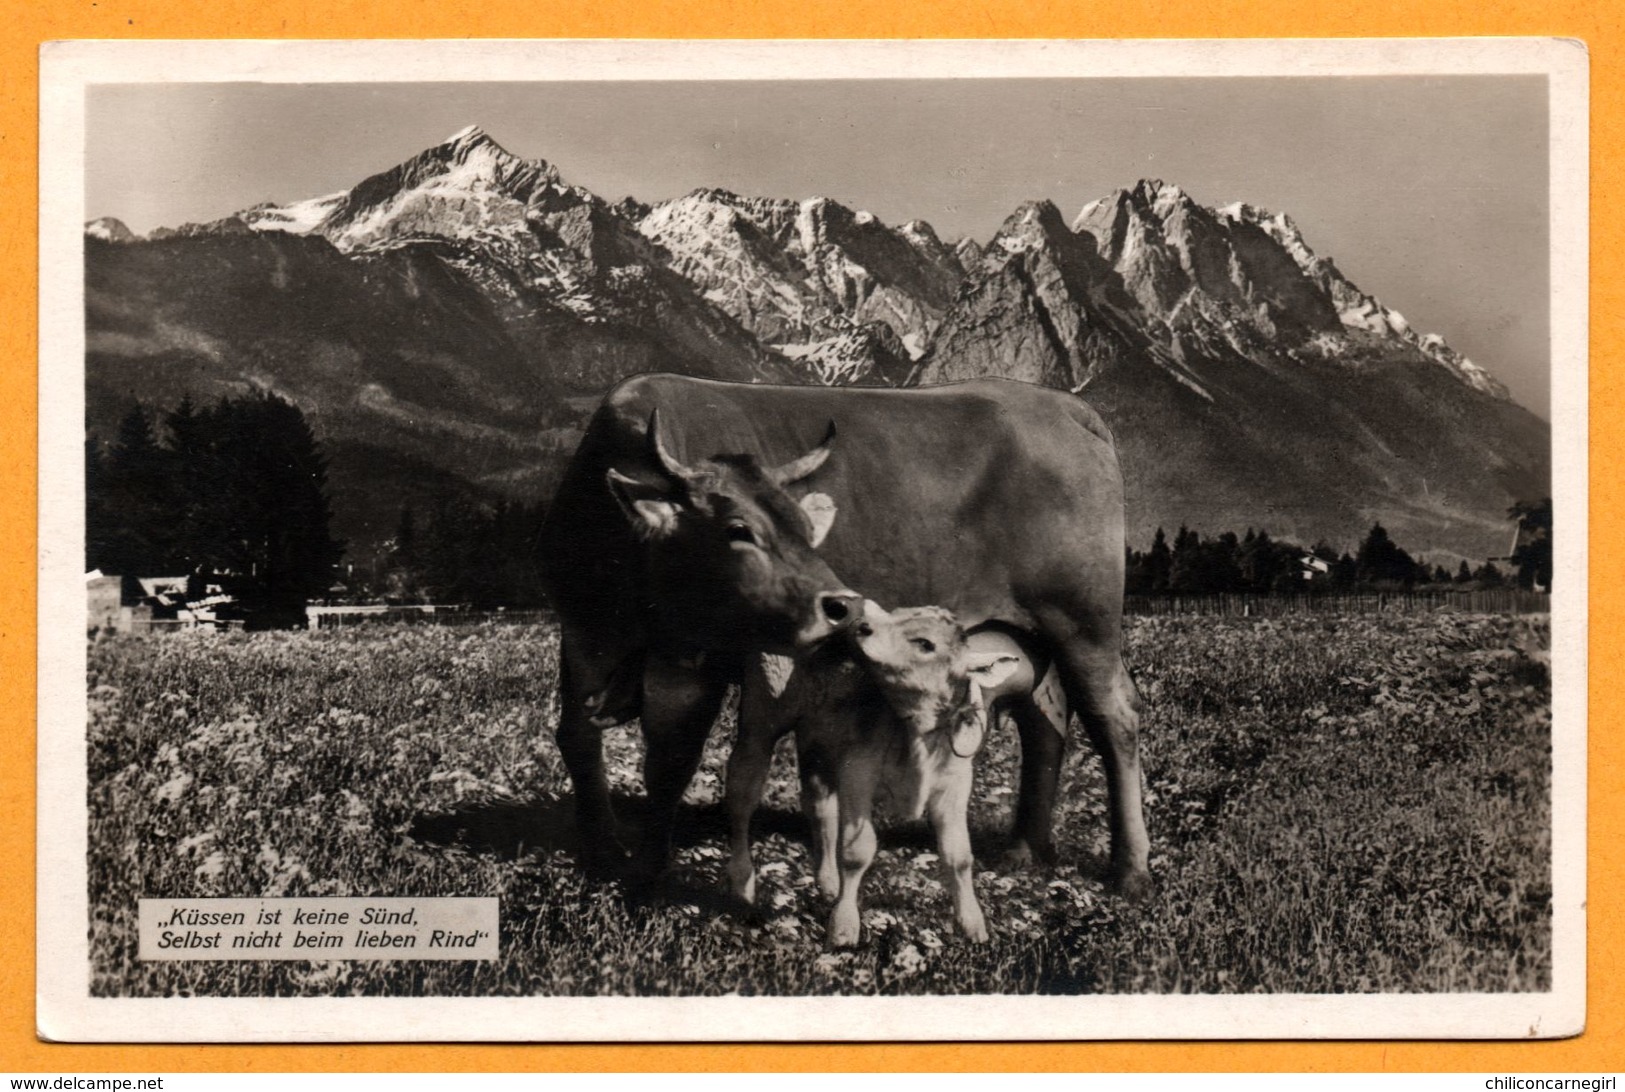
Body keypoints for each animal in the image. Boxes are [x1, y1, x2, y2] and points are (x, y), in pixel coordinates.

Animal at [539, 375, 1150, 897]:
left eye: (806, 528)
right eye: (738, 530)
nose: (844, 605)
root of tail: (1058, 403)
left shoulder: (696, 658)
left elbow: (672, 757)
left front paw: (649, 868)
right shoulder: (584, 636)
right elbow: (577, 738)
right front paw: (602, 849)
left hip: (1084, 622)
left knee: (1113, 718)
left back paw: (1130, 867)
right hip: (1028, 639)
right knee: (1045, 719)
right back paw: (1025, 848)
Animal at [721, 601, 1053, 942]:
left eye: (925, 643)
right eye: (896, 615)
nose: (862, 626)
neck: (918, 734)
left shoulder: (956, 782)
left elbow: (959, 855)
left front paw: (972, 924)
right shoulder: (858, 771)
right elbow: (857, 851)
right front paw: (844, 926)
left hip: (817, 737)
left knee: (820, 807)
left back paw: (828, 883)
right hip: (762, 715)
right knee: (742, 796)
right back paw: (742, 885)